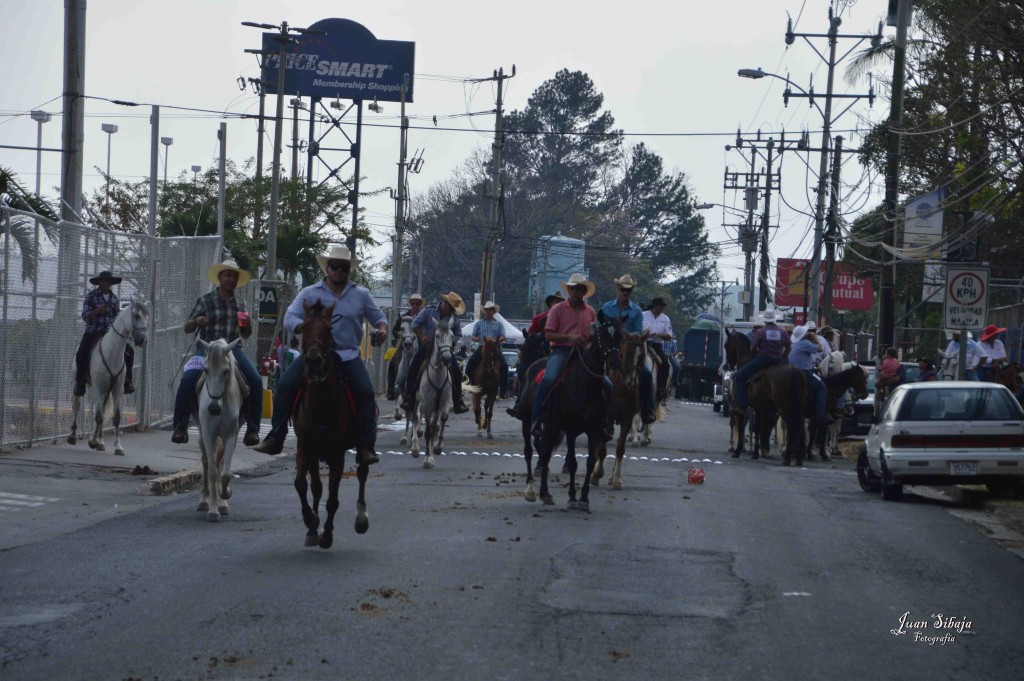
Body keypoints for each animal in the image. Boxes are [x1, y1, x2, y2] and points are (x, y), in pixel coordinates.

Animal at [69, 299, 149, 454]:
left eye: (147, 316)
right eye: (136, 316)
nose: (143, 340)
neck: (112, 352)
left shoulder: (118, 389)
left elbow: (116, 417)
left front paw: (117, 446)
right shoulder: (98, 388)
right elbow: (98, 416)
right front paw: (92, 441)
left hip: (107, 390)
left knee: (103, 408)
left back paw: (101, 442)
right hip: (78, 385)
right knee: (77, 406)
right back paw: (73, 436)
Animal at [193, 337, 247, 520]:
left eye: (226, 371)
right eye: (205, 370)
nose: (214, 408)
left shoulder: (230, 435)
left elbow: (224, 472)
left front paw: (224, 497)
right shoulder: (208, 434)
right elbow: (212, 471)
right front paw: (213, 510)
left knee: (219, 462)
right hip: (201, 433)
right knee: (205, 461)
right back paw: (203, 501)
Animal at [292, 301, 368, 548]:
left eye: (329, 329)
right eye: (303, 327)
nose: (314, 361)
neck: (321, 403)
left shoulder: (337, 453)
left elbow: (333, 498)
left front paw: (326, 533)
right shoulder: (306, 446)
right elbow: (305, 484)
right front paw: (311, 522)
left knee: (363, 472)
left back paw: (361, 518)